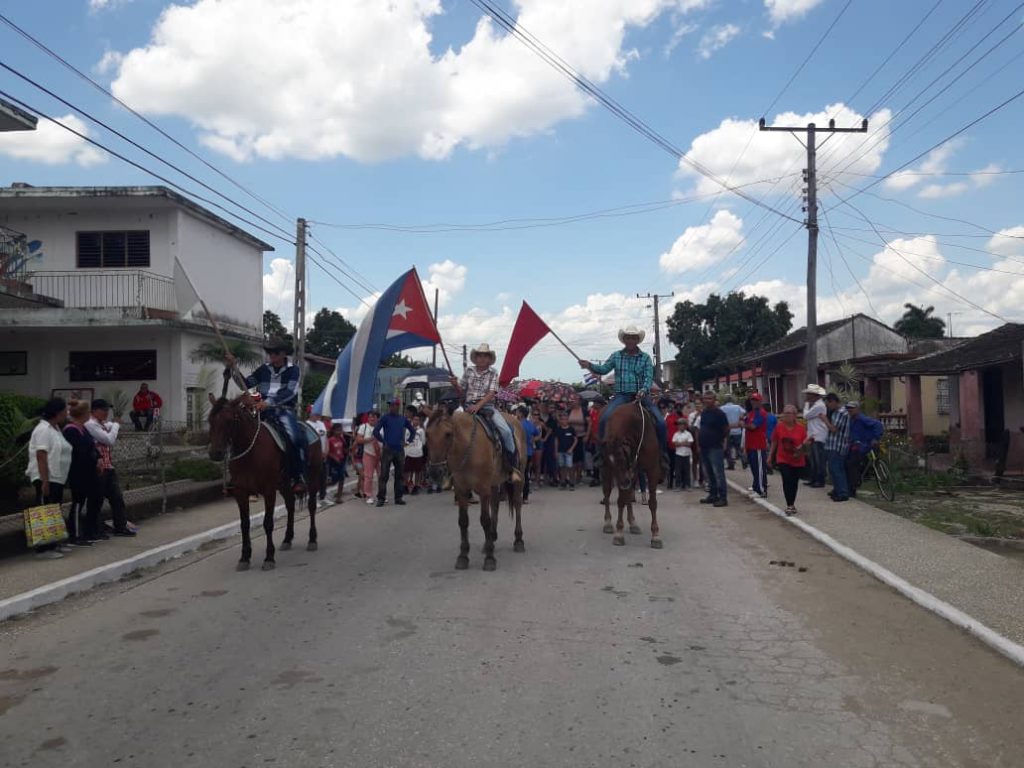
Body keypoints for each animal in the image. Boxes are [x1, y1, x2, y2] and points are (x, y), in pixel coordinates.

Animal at [205, 393, 321, 569]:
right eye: (210, 420)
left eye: (229, 420)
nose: (215, 453)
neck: (250, 452)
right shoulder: (241, 493)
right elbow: (244, 524)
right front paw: (244, 557)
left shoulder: (269, 490)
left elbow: (268, 523)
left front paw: (269, 558)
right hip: (283, 484)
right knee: (290, 505)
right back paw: (287, 539)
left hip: (312, 478)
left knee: (312, 506)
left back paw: (312, 539)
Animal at [423, 405, 528, 573]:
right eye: (427, 434)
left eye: (448, 434)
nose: (435, 472)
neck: (466, 448)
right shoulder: (461, 489)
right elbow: (463, 521)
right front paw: (463, 556)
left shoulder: (483, 488)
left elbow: (484, 520)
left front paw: (490, 559)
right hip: (494, 482)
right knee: (495, 503)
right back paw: (491, 538)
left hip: (520, 477)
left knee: (517, 503)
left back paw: (518, 540)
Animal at [598, 399, 663, 548]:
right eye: (613, 463)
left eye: (622, 459)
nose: (624, 482)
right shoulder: (618, 473)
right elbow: (621, 500)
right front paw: (619, 533)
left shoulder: (652, 469)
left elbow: (652, 502)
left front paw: (656, 535)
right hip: (607, 472)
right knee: (607, 492)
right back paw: (608, 523)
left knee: (628, 494)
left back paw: (633, 523)